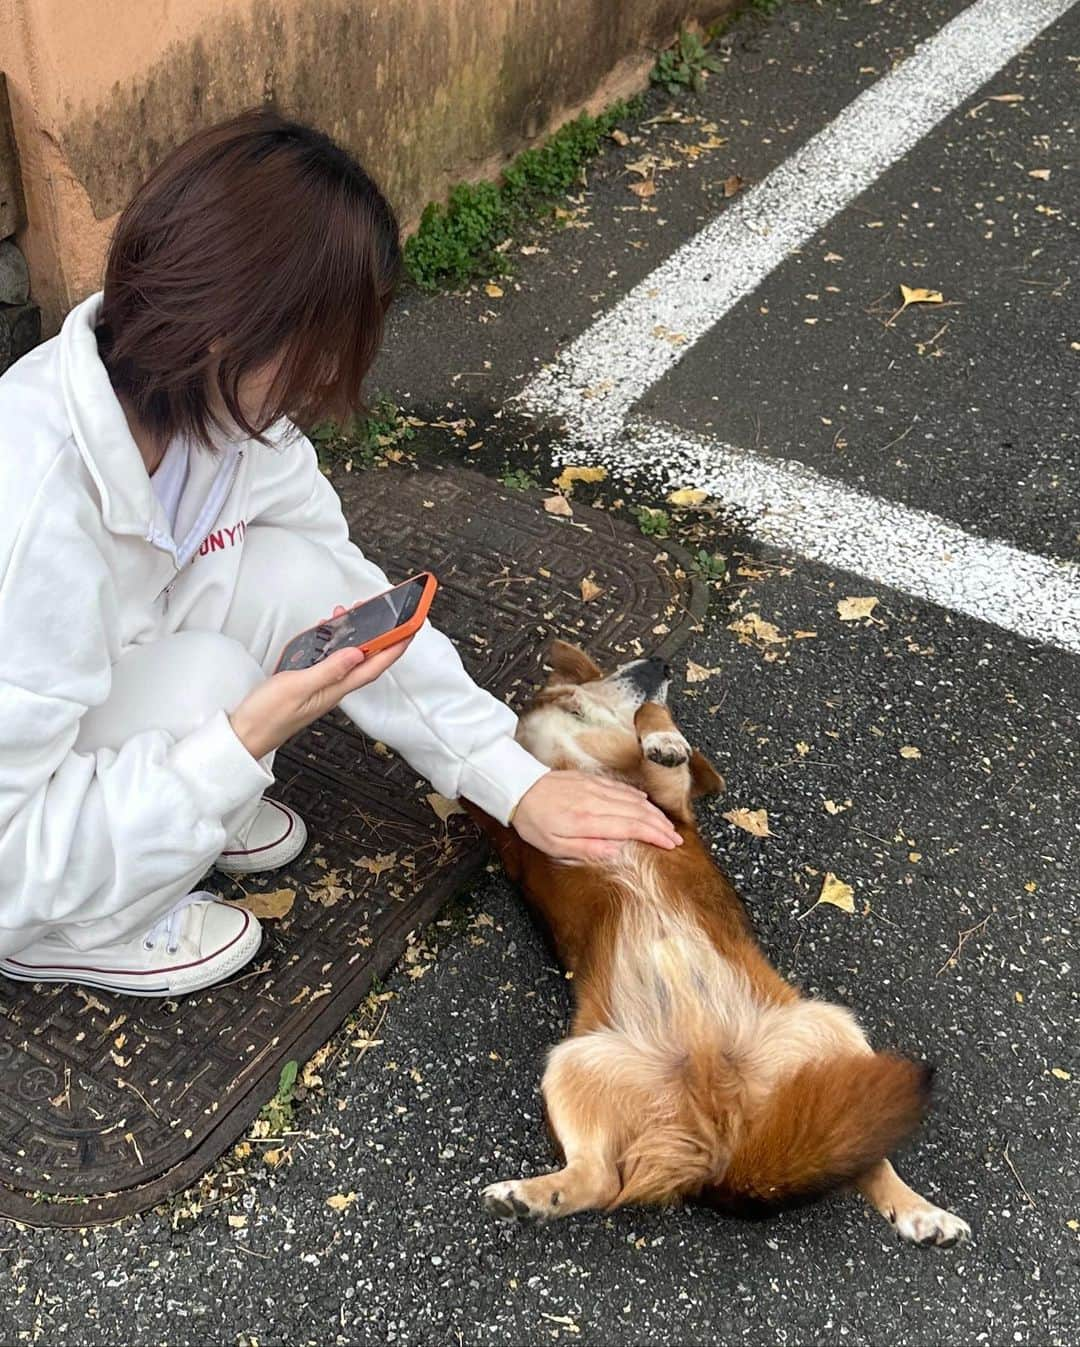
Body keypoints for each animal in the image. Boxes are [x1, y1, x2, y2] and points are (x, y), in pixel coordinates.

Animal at [465, 635, 969, 1244]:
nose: (662, 662)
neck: (584, 739)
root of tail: (718, 1124)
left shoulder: (670, 803)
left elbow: (655, 728)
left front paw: (662, 736)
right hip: (572, 1062)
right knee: (599, 1180)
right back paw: (534, 1197)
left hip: (833, 1030)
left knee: (867, 1156)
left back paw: (921, 1211)